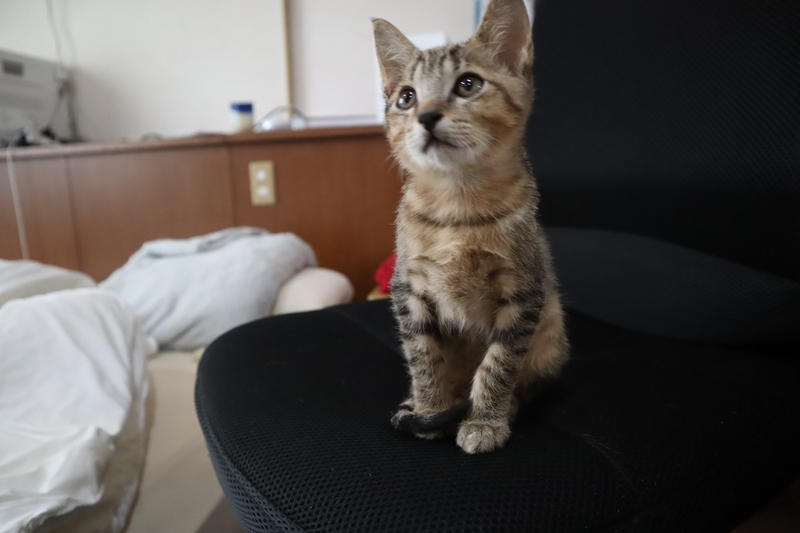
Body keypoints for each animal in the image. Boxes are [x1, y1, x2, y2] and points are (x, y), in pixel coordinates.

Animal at [373, 0, 568, 454]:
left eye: (467, 84)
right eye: (406, 97)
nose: (426, 115)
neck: (457, 210)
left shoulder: (524, 293)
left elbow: (499, 364)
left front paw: (484, 420)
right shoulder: (409, 288)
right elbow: (423, 358)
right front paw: (430, 410)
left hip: (552, 333)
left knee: (530, 382)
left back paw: (507, 405)